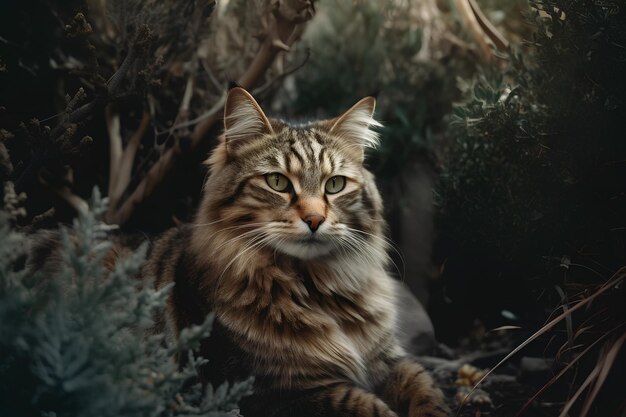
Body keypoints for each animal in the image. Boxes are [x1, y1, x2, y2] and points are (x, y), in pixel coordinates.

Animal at [145, 88, 448, 416]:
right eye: (277, 182)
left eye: (335, 184)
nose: (314, 219)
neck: (319, 291)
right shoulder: (277, 392)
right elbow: (366, 405)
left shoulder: (390, 362)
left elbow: (426, 389)